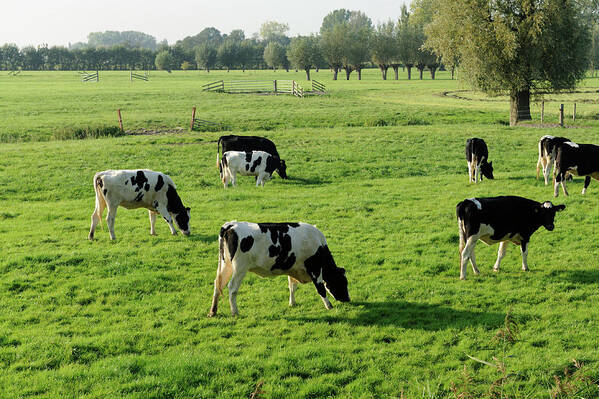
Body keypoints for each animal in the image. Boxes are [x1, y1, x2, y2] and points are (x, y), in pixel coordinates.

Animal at [211, 220, 352, 318]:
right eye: (342, 282)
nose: (348, 299)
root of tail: (231, 225)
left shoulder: (294, 267)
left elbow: (292, 286)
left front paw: (292, 303)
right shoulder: (314, 269)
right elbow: (320, 288)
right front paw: (328, 305)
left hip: (225, 265)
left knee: (218, 284)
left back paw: (213, 311)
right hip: (240, 268)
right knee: (232, 288)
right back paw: (235, 312)